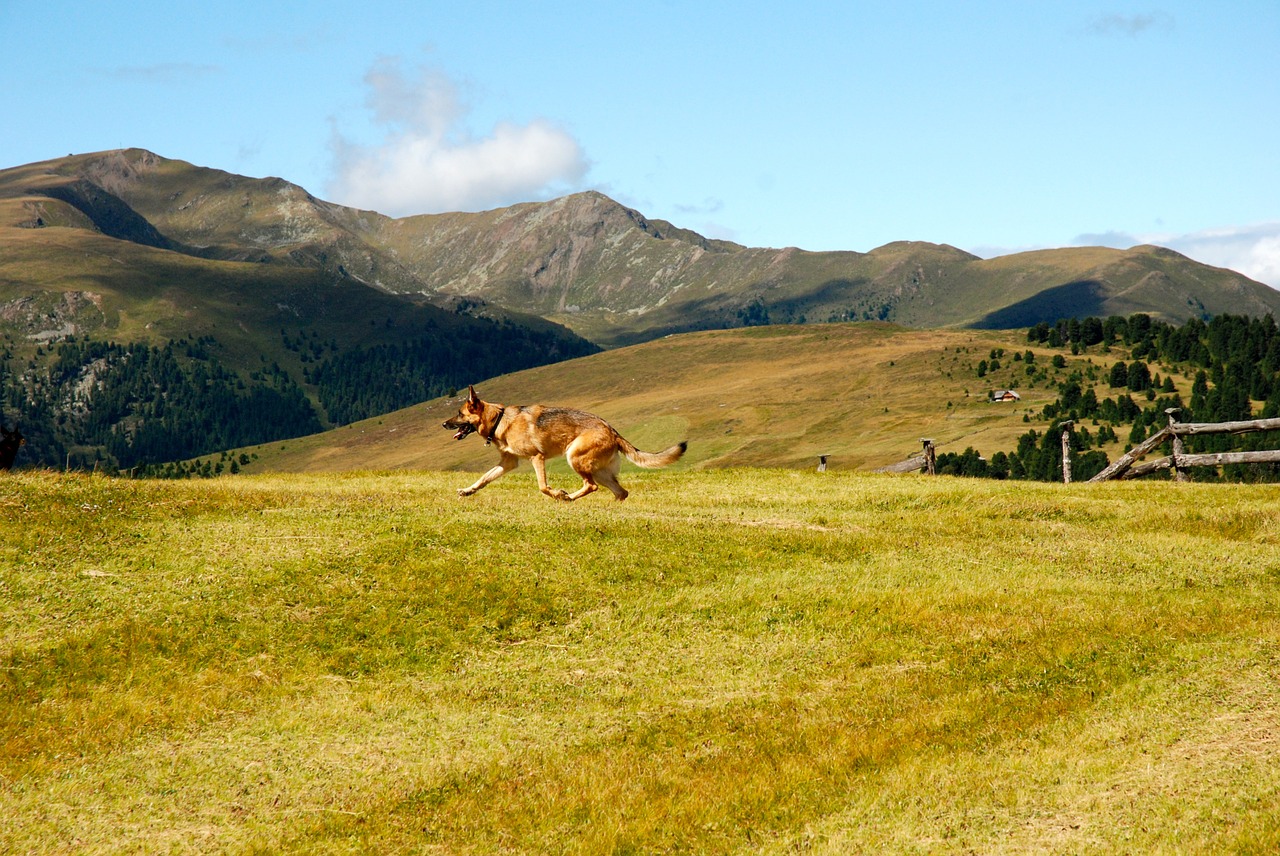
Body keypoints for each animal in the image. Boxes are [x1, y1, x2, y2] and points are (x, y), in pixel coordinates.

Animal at [440, 383, 686, 496]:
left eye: (459, 414)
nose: (443, 424)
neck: (499, 419)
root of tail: (612, 430)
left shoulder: (536, 458)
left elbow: (542, 486)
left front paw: (557, 493)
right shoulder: (507, 463)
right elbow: (484, 478)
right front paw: (468, 491)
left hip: (574, 458)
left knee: (591, 486)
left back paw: (568, 498)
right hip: (599, 470)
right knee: (620, 492)